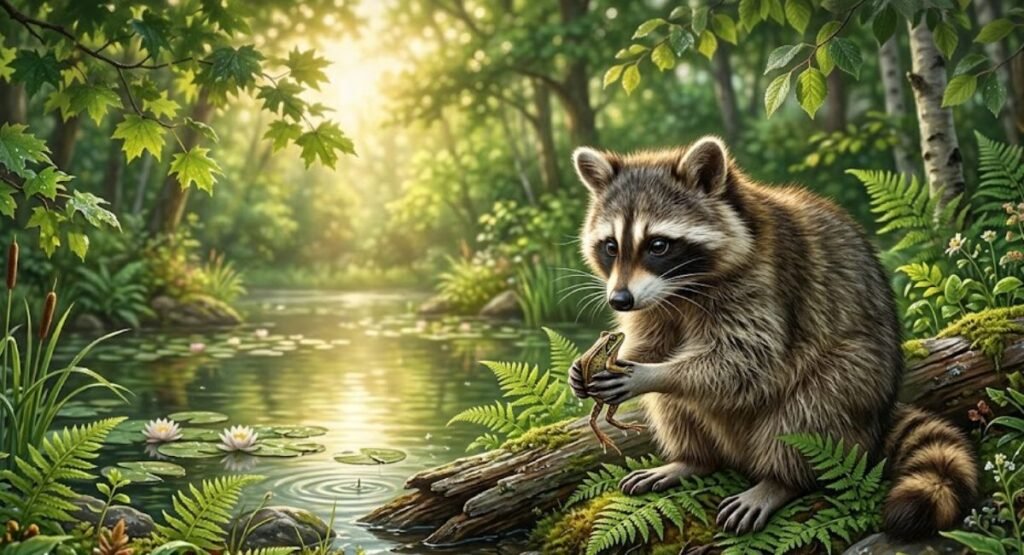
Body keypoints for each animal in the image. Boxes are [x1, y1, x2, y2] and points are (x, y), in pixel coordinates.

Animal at [568, 136, 977, 539]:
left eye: (658, 245)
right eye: (611, 246)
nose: (619, 300)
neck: (683, 290)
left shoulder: (765, 282)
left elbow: (746, 359)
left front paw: (650, 373)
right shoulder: (654, 303)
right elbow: (654, 343)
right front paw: (608, 359)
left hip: (855, 382)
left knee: (812, 408)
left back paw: (779, 480)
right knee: (673, 407)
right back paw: (693, 459)